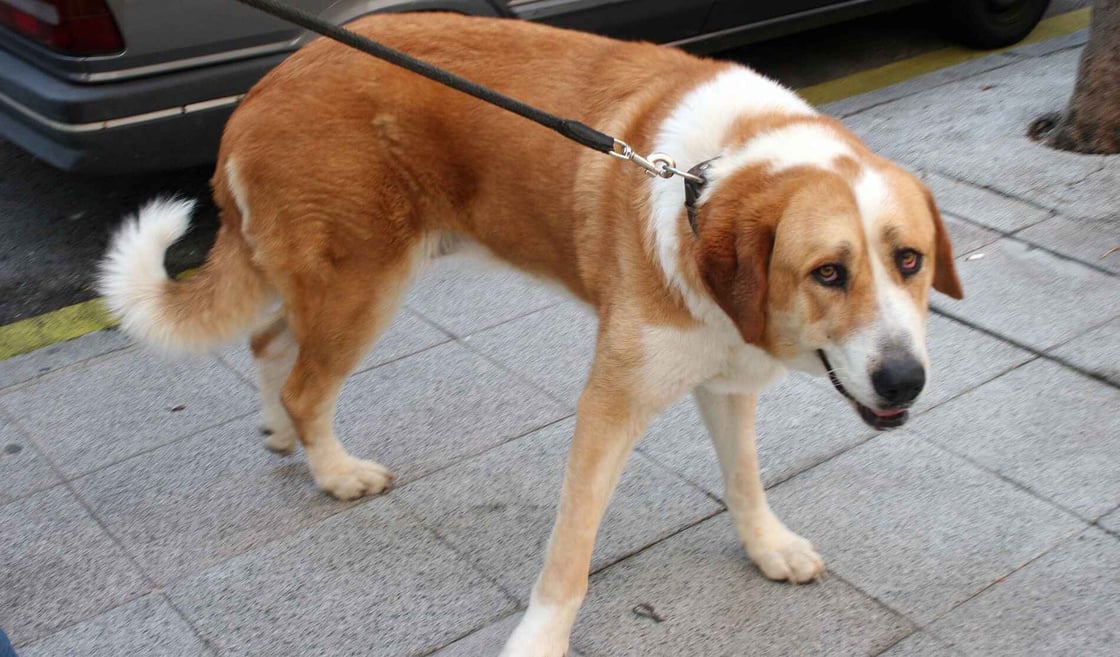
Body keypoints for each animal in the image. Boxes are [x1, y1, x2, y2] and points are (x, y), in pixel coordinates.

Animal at [100, 12, 963, 653]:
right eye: (829, 272)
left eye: (910, 260)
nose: (905, 380)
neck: (703, 187)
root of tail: (258, 91)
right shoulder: (610, 404)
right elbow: (570, 552)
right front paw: (541, 639)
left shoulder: (725, 375)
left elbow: (745, 478)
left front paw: (766, 545)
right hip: (361, 287)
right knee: (308, 381)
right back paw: (334, 469)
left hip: (329, 281)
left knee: (271, 346)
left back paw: (282, 431)